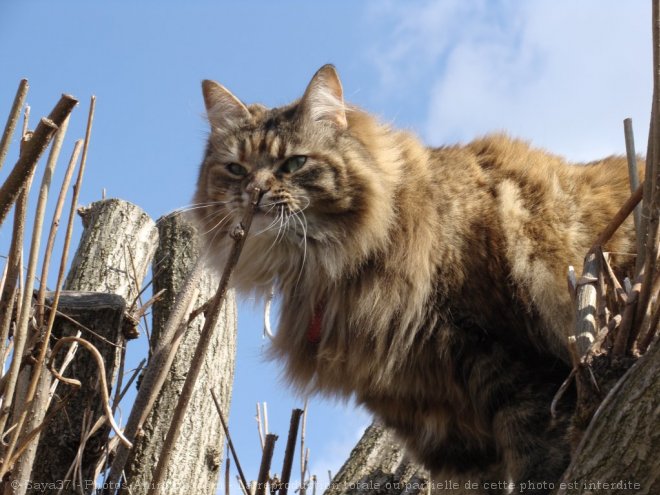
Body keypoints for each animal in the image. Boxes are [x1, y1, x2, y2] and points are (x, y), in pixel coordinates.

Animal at [193, 66, 636, 495]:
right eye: (235, 169)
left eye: (293, 164)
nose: (253, 191)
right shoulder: (435, 420)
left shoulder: (518, 366)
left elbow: (539, 464)